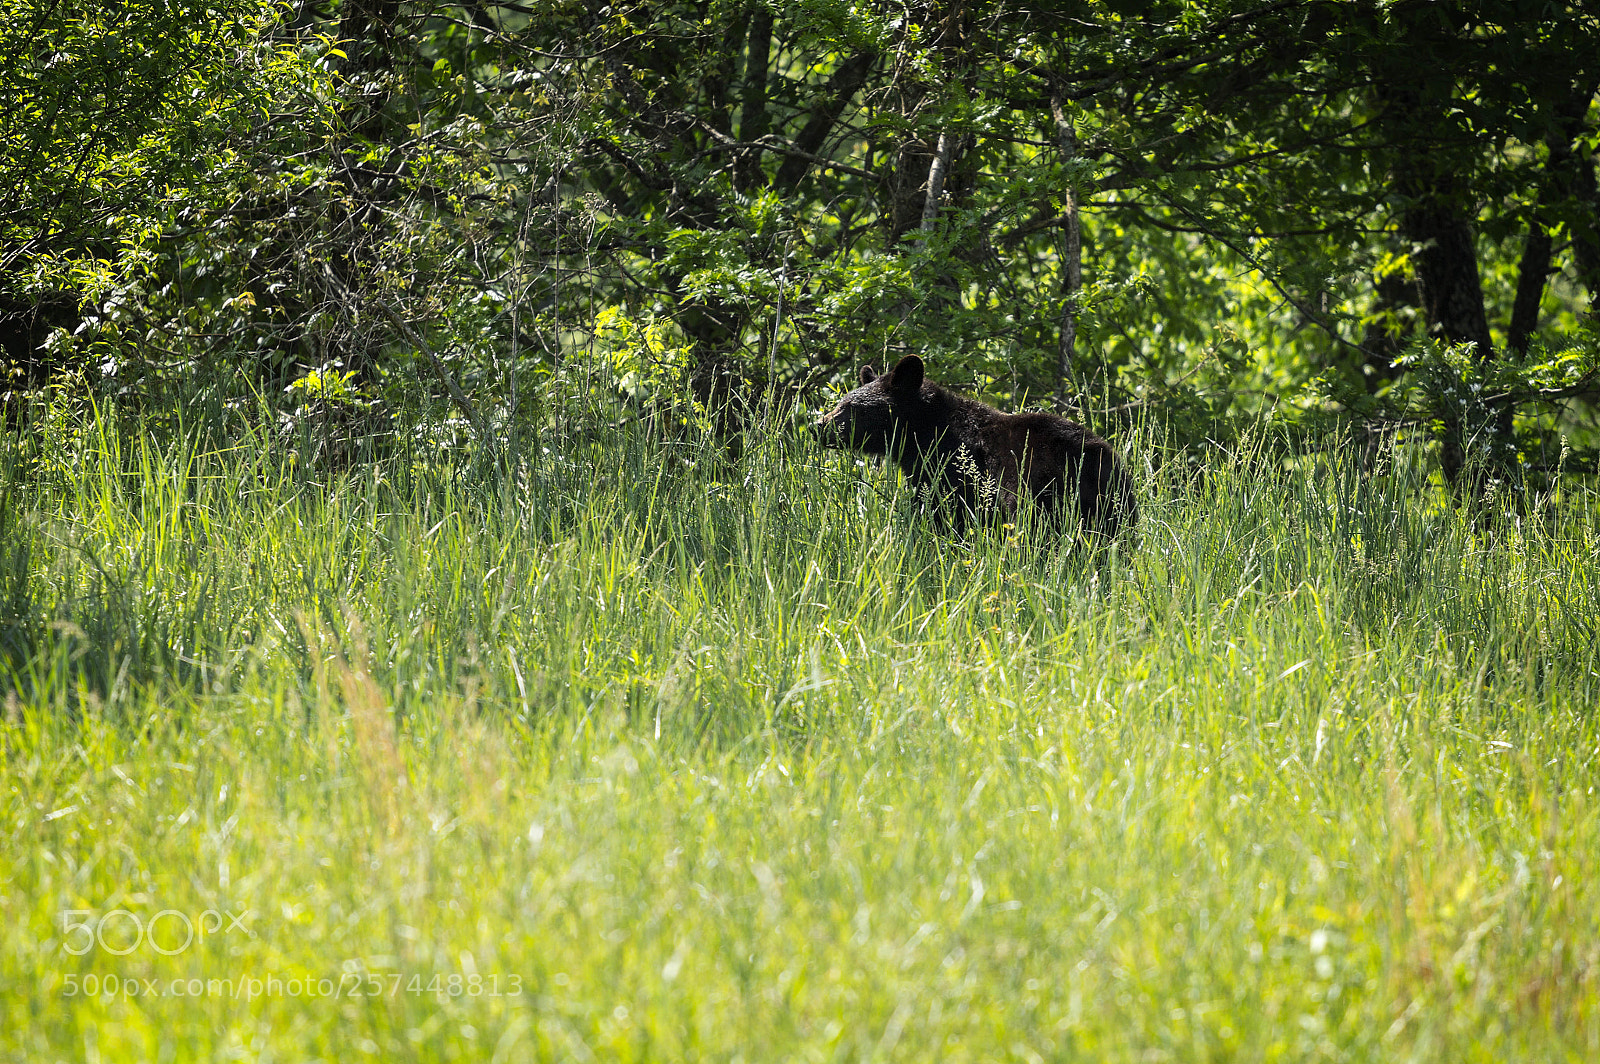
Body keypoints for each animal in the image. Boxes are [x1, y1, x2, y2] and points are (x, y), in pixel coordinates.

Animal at [813, 354, 1137, 539]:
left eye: (850, 408)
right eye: (841, 402)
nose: (818, 425)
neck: (927, 433)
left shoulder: (949, 474)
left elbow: (942, 516)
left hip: (1038, 492)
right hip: (1113, 502)